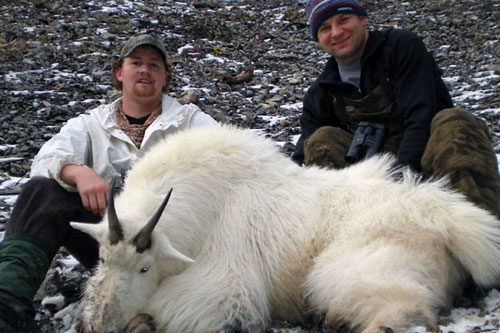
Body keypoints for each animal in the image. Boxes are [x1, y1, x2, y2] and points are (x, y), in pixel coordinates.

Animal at [72, 123, 500, 330]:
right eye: (103, 258)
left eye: (145, 267)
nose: (98, 324)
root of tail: (447, 217)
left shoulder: (222, 287)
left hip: (352, 267)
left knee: (405, 308)